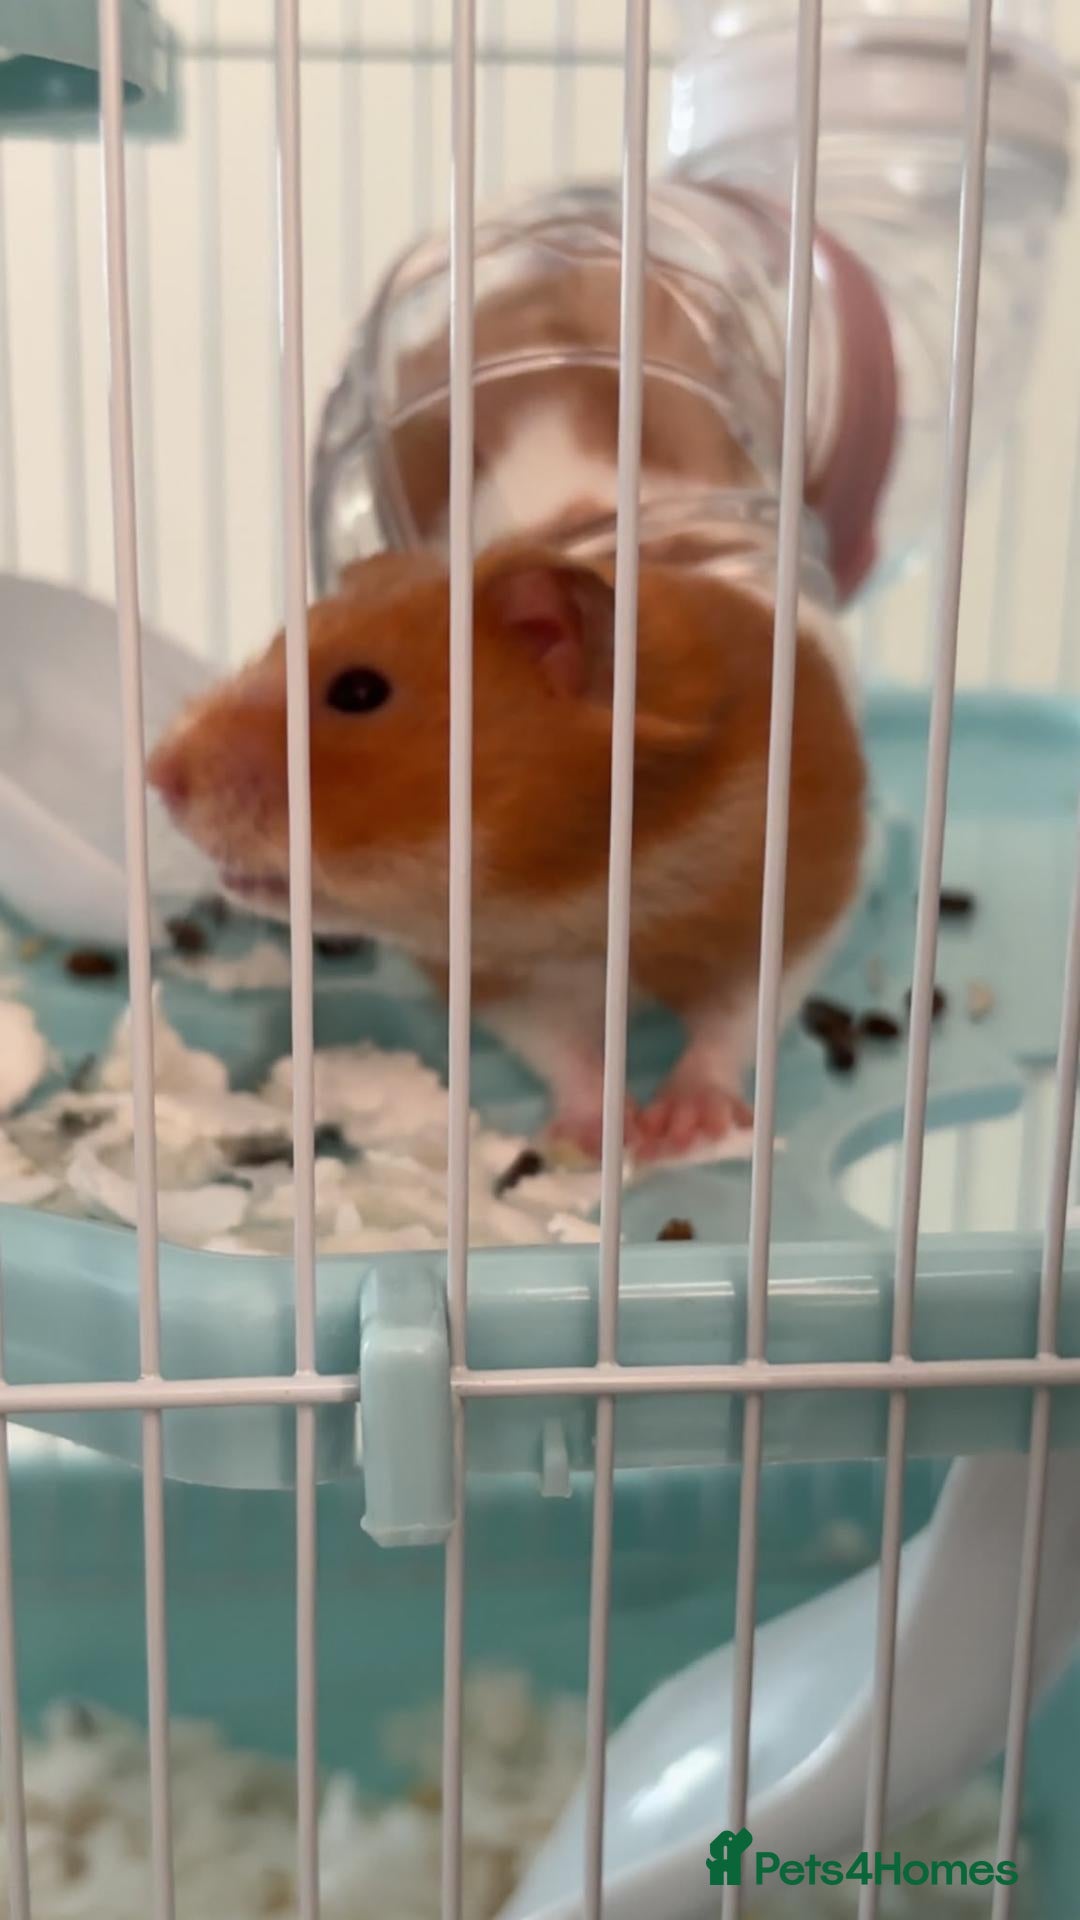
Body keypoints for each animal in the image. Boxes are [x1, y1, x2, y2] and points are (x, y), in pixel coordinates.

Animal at [148, 544, 866, 1162]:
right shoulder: (504, 980)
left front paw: (681, 1128)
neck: (566, 887)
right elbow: (565, 1052)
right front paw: (594, 1138)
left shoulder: (793, 904)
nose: (158, 773)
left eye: (358, 692)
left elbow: (732, 1020)